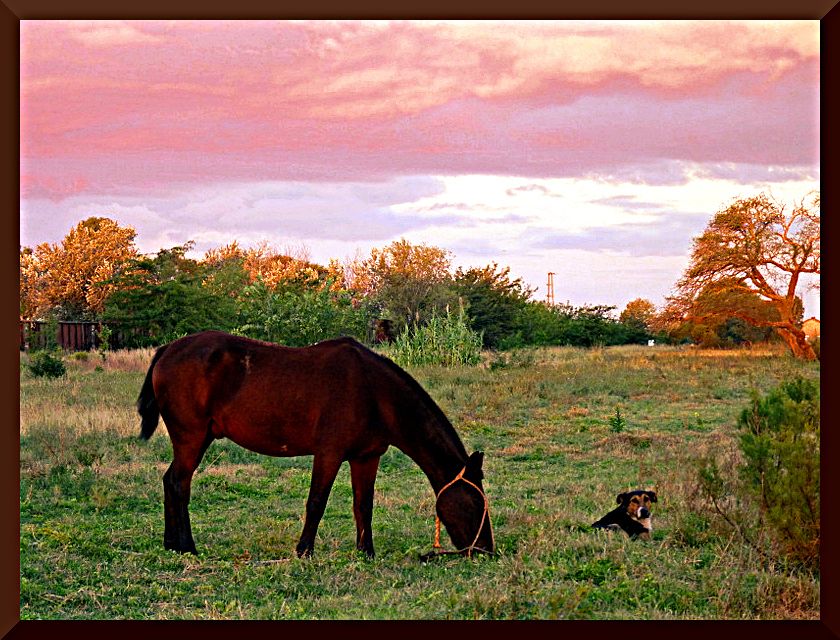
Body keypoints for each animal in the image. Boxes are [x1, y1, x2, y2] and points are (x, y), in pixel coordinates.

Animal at [136, 330, 492, 560]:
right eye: (475, 502)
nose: (486, 550)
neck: (374, 392)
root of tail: (167, 349)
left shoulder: (367, 457)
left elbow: (363, 505)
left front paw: (366, 552)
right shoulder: (329, 454)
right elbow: (316, 503)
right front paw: (304, 551)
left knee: (171, 481)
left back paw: (172, 544)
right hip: (191, 438)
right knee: (179, 483)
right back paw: (187, 546)